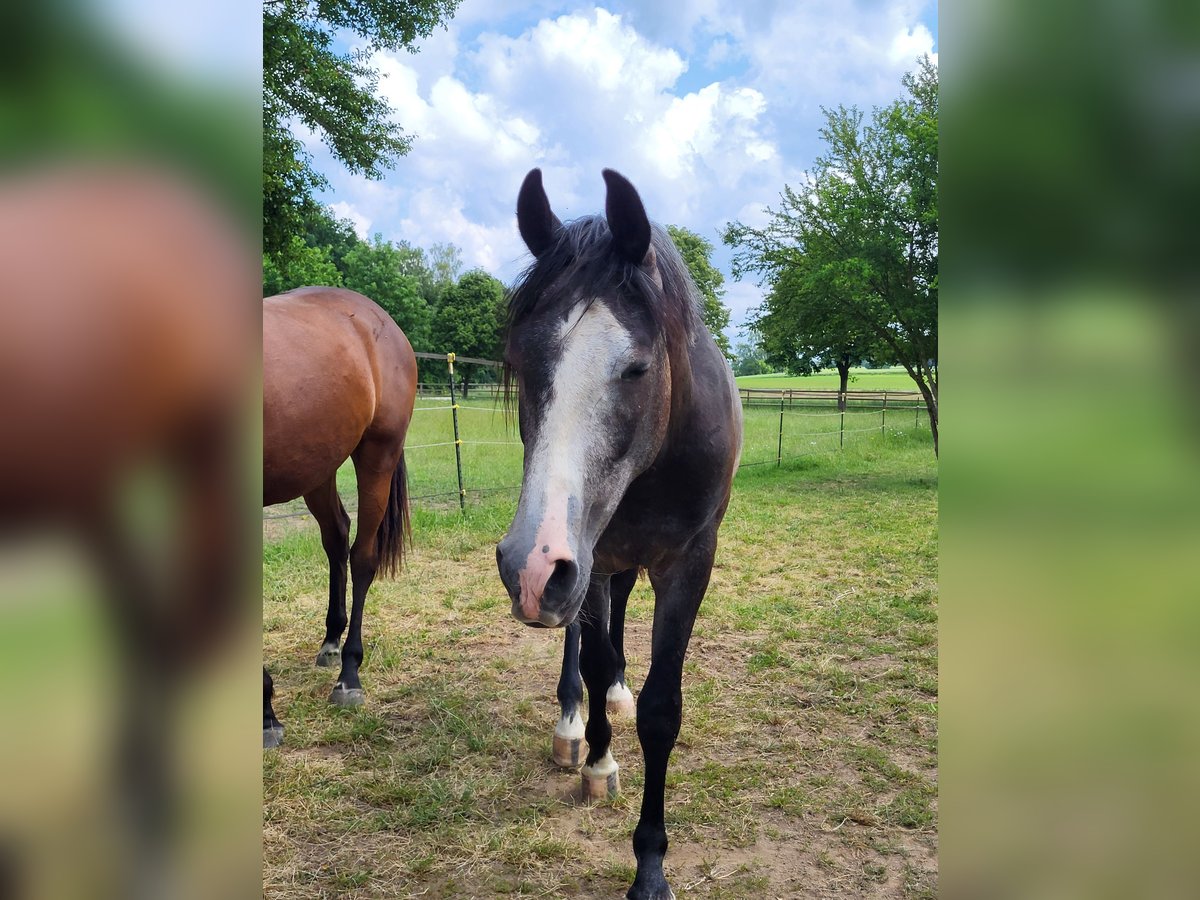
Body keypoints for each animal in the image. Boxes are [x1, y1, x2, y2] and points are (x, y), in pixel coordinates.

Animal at [262, 286, 417, 748]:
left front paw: (266, 713)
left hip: (377, 454)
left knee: (362, 556)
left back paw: (349, 673)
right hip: (317, 468)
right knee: (336, 537)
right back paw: (331, 640)